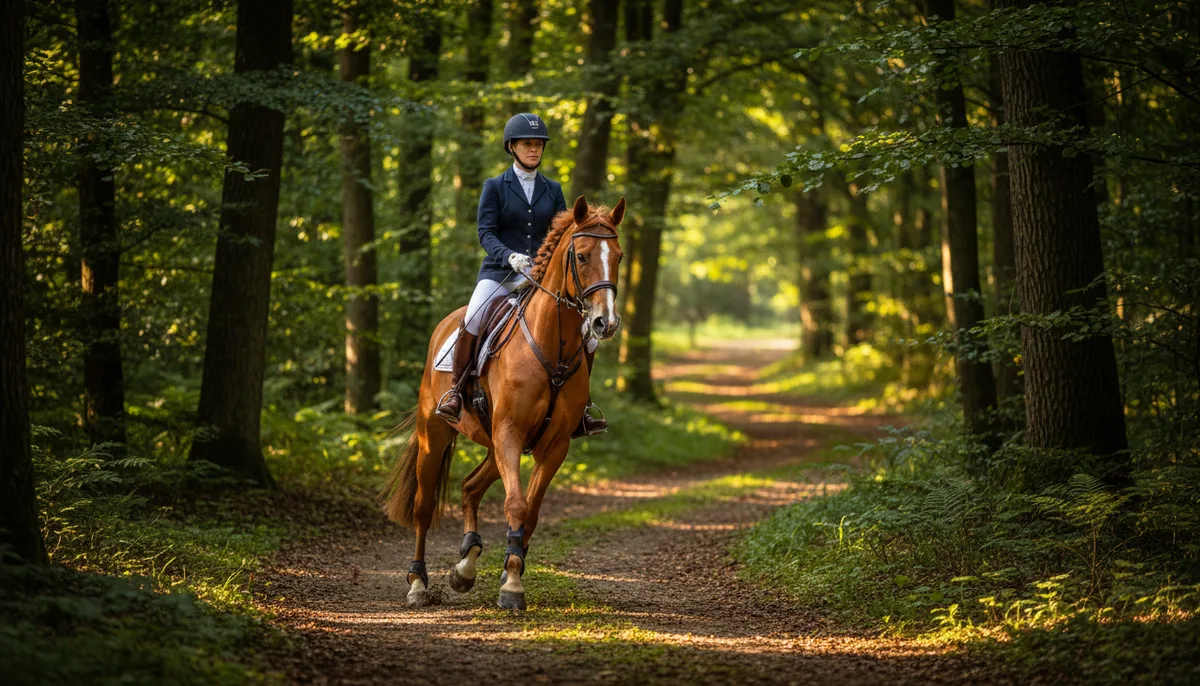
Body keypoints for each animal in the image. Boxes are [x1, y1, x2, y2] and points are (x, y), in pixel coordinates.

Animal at [381, 195, 625, 611]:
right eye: (582, 256)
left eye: (620, 256)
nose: (603, 323)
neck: (550, 344)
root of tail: (444, 325)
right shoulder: (509, 432)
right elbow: (517, 505)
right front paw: (511, 584)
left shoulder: (554, 445)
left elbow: (532, 512)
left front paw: (511, 572)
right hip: (436, 435)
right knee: (424, 507)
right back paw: (417, 583)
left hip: (494, 444)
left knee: (469, 487)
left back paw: (466, 566)